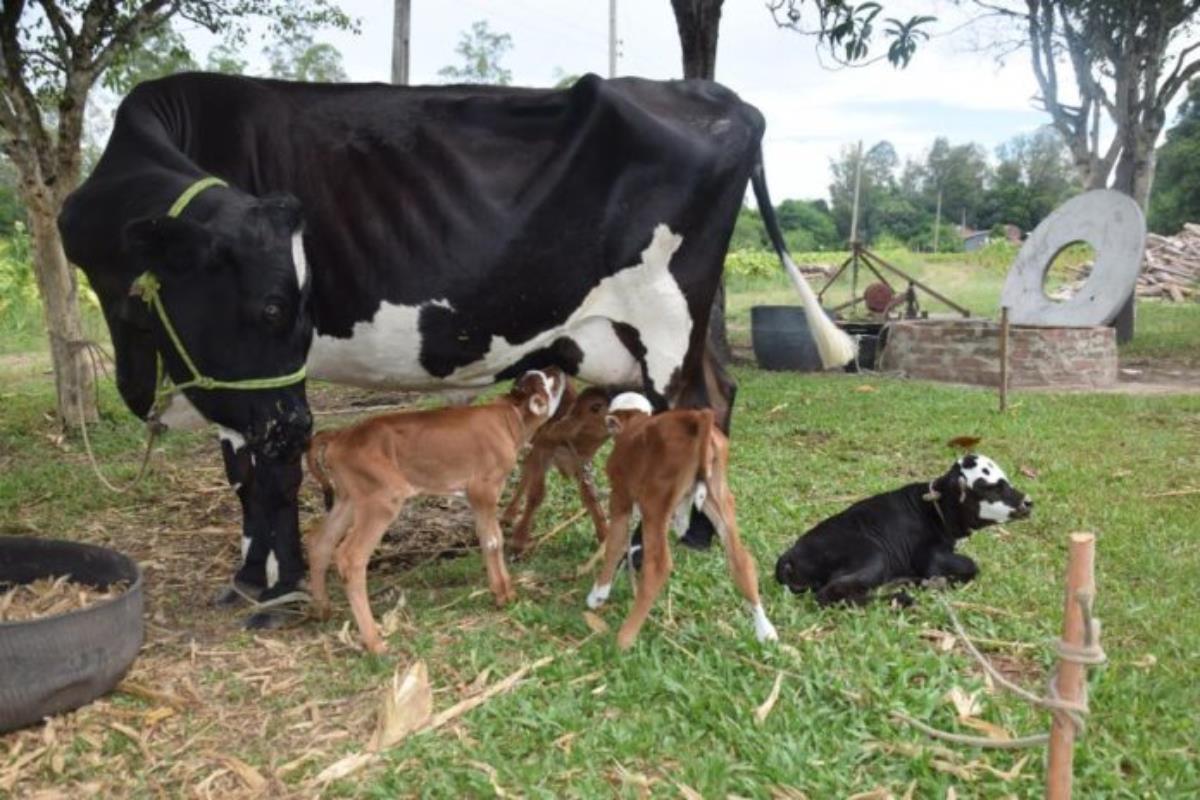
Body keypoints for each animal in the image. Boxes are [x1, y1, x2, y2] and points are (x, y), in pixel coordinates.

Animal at [304, 369, 566, 652]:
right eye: (549, 383)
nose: (558, 370)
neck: (509, 415)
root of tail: (341, 434)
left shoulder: (477, 496)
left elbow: (488, 539)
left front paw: (504, 592)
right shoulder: (484, 488)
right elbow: (494, 540)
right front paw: (504, 594)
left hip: (349, 499)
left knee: (320, 542)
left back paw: (322, 610)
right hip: (382, 498)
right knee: (350, 556)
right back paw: (374, 642)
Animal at [499, 381, 614, 556]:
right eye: (596, 406)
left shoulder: (581, 463)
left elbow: (590, 497)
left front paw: (605, 536)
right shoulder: (543, 448)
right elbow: (536, 495)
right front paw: (518, 541)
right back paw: (508, 514)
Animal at [588, 393, 777, 652]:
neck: (636, 422)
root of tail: (695, 419)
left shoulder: (621, 497)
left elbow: (614, 544)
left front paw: (599, 593)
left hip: (655, 502)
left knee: (658, 566)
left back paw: (624, 639)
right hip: (718, 496)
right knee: (741, 559)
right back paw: (765, 630)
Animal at [777, 453, 1032, 604]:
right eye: (990, 487)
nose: (1028, 502)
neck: (935, 509)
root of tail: (790, 554)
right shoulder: (928, 557)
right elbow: (972, 566)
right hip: (873, 556)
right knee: (830, 594)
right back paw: (901, 599)